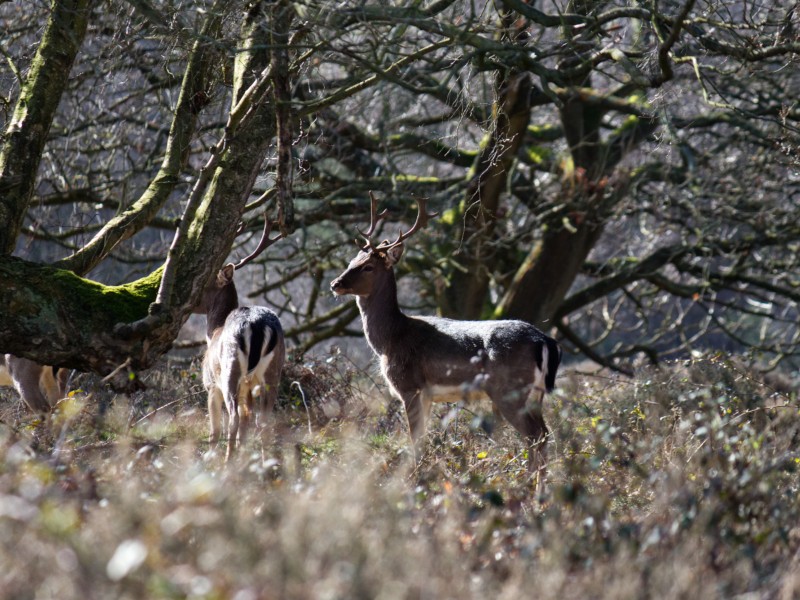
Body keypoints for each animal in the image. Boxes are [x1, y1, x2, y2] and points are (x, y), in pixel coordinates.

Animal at [195, 220, 286, 460]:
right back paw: (264, 462)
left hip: (230, 369)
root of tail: (257, 324)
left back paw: (228, 461)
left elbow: (215, 429)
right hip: (273, 369)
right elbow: (247, 421)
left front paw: (210, 458)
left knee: (234, 418)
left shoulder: (211, 385)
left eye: (202, 283)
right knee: (262, 420)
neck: (213, 332)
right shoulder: (248, 388)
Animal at [332, 196, 564, 492]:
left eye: (368, 267)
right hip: (535, 394)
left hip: (509, 389)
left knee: (536, 435)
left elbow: (415, 440)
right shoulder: (428, 394)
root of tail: (544, 340)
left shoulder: (410, 386)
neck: (390, 339)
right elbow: (422, 438)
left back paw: (531, 491)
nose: (335, 284)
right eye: (353, 260)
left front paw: (414, 483)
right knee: (543, 434)